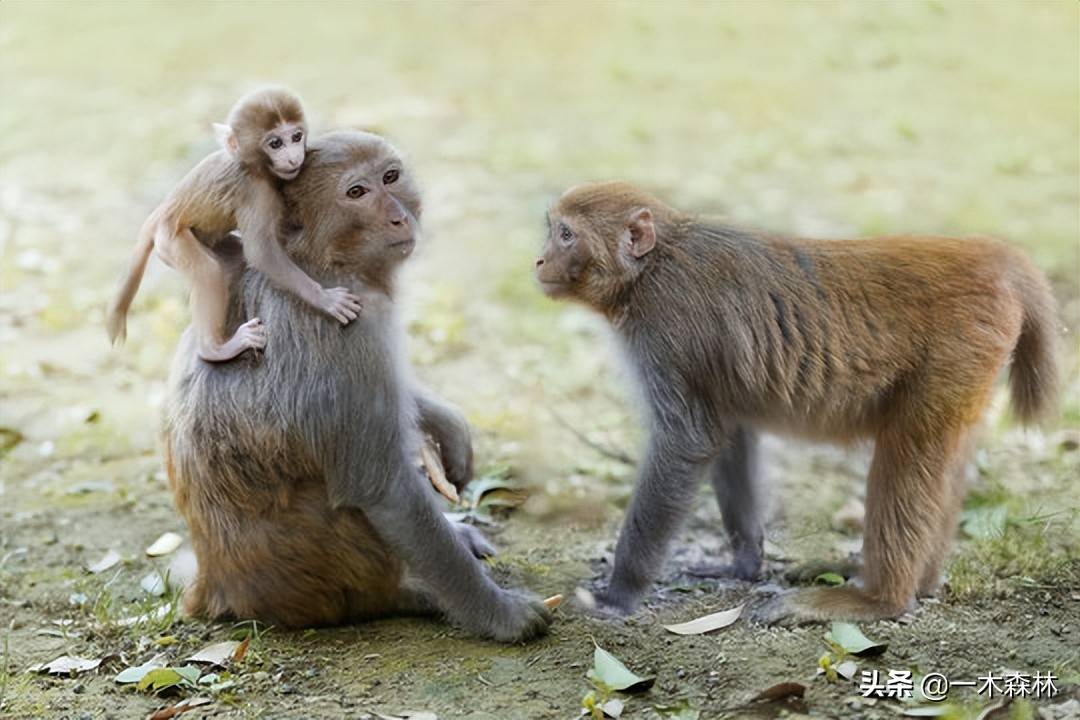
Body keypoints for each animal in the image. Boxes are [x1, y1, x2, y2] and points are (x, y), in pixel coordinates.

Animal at [107, 87, 365, 362]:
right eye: (276, 143)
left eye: (296, 136)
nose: (293, 156)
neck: (256, 166)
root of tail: (162, 212)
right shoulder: (255, 191)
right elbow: (261, 252)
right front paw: (325, 299)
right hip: (172, 239)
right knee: (208, 271)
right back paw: (214, 349)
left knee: (230, 263)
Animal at [166, 129, 557, 643]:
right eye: (356, 192)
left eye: (390, 177)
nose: (398, 215)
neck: (320, 260)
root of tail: (217, 588)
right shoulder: (348, 326)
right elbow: (383, 488)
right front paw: (501, 613)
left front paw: (451, 429)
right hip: (340, 582)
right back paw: (416, 592)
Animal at [535, 181, 1058, 626]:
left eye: (566, 234)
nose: (539, 261)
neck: (651, 267)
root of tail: (987, 254)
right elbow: (729, 435)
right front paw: (744, 563)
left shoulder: (666, 329)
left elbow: (688, 442)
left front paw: (618, 594)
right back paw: (908, 581)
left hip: (956, 350)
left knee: (907, 445)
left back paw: (878, 599)